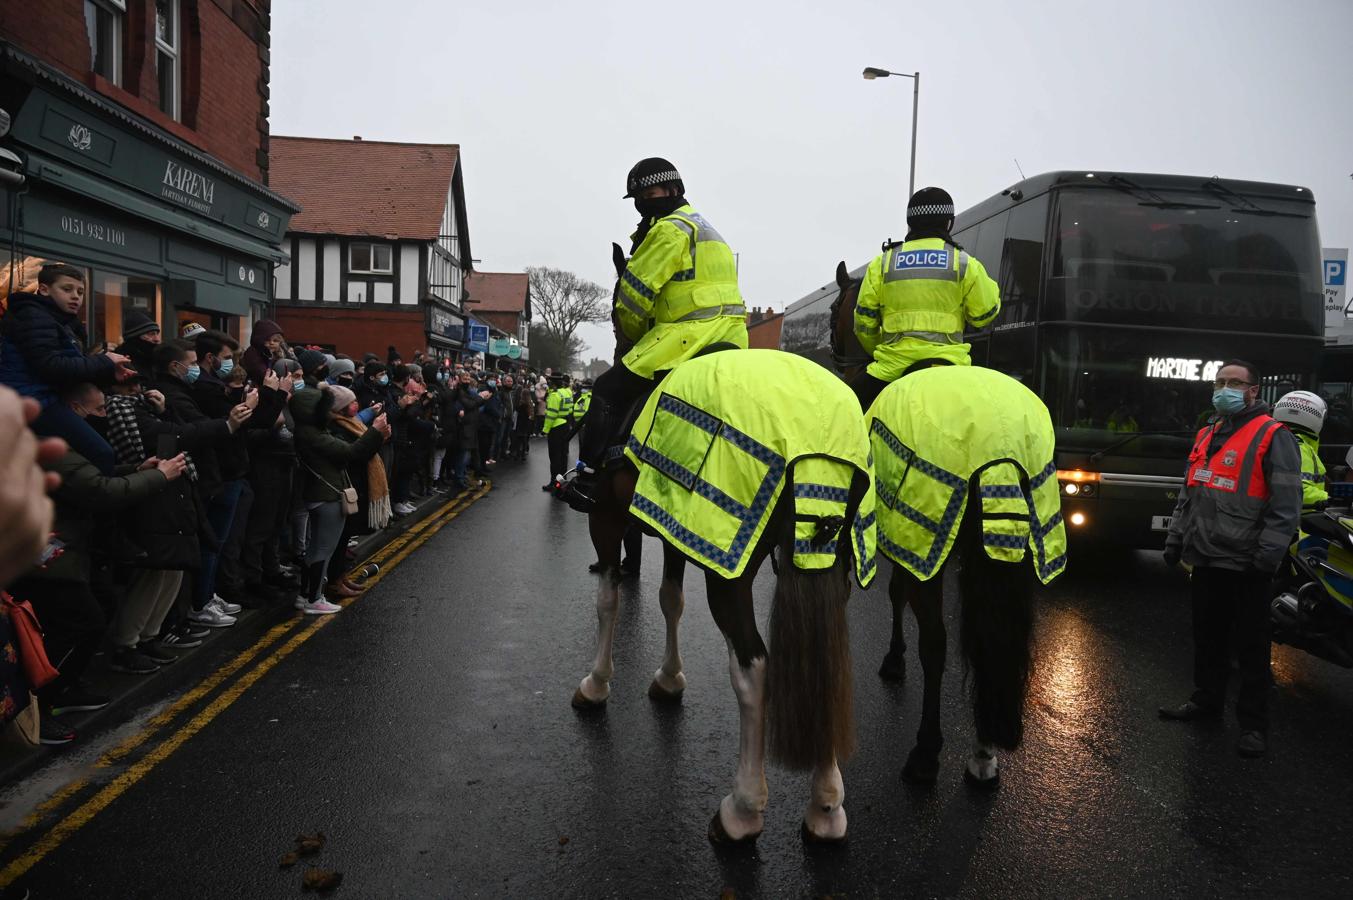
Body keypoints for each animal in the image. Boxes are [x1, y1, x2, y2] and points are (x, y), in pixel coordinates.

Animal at [568, 343, 871, 844]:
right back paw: (826, 807)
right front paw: (669, 678)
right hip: (828, 566)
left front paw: (596, 683)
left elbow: (607, 601)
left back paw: (742, 810)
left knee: (753, 669)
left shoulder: (608, 517)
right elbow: (671, 600)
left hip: (730, 574)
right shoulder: (676, 526)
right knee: (827, 662)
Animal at [822, 261, 1066, 784]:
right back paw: (985, 750)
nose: (834, 352)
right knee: (995, 636)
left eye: (834, 311)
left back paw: (926, 751)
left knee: (937, 644)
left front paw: (894, 660)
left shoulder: (908, 537)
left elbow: (896, 598)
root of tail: (997, 433)